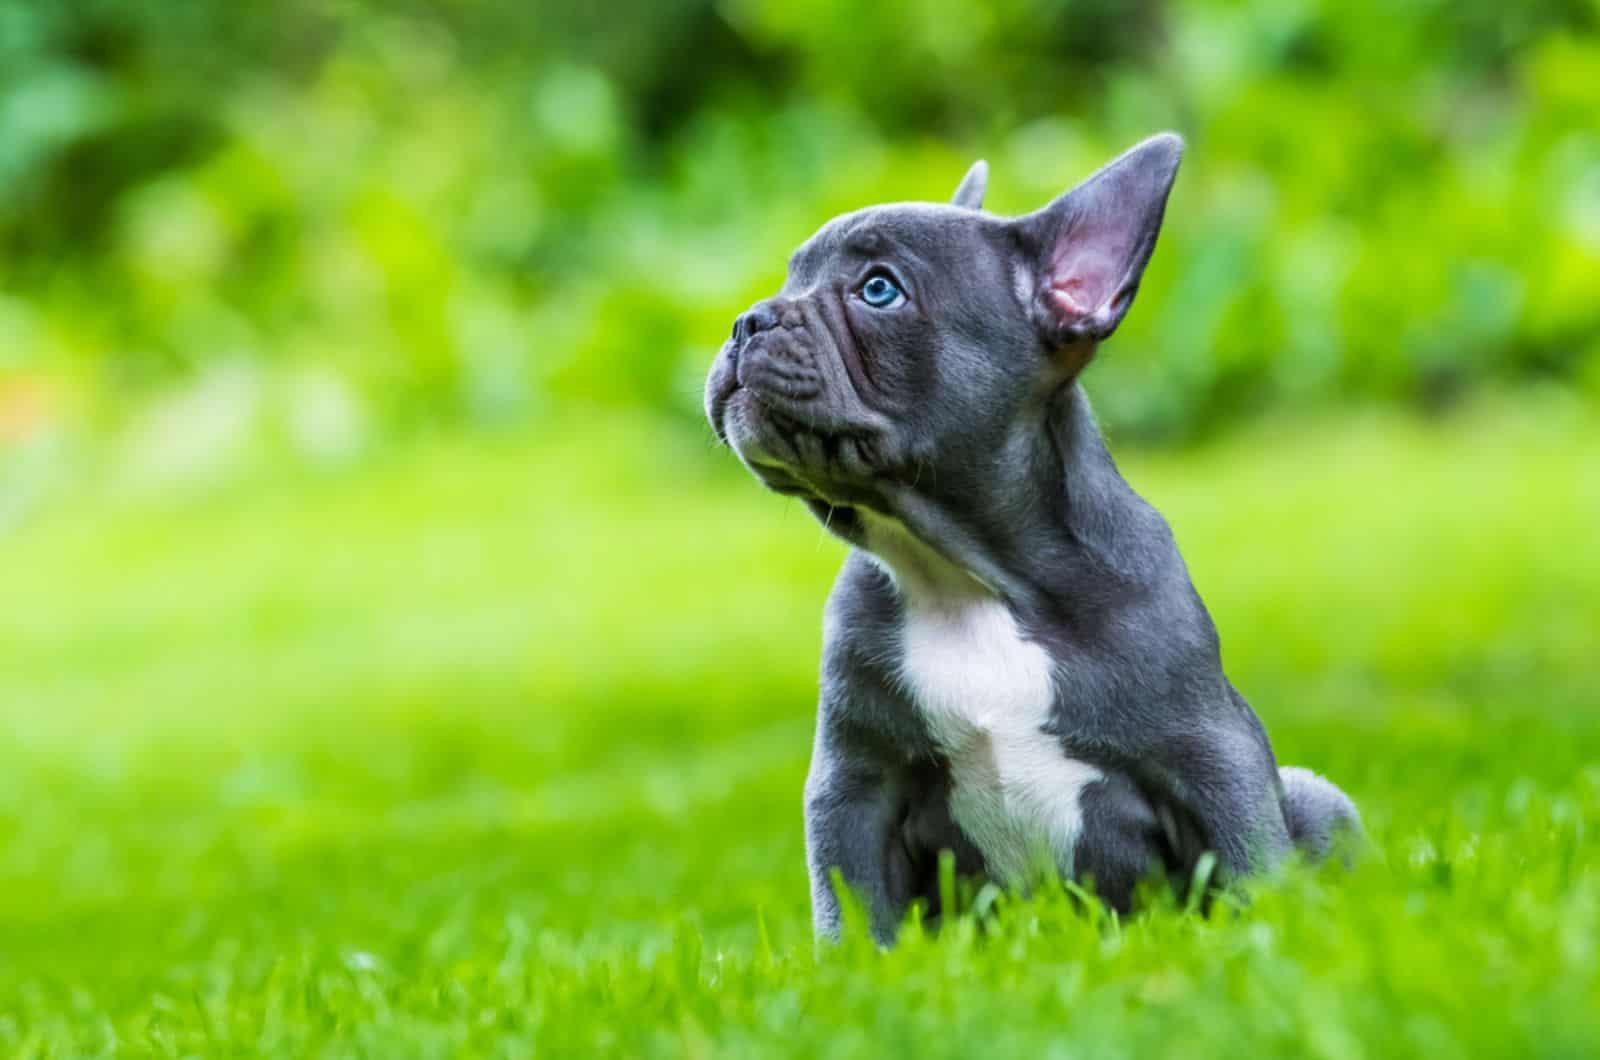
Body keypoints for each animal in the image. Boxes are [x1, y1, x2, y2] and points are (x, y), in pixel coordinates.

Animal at [707, 132, 1356, 947]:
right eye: (790, 278)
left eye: (879, 291)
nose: (747, 321)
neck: (963, 577)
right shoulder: (852, 787)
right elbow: (849, 904)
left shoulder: (1212, 753)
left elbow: (1248, 859)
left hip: (1319, 801)